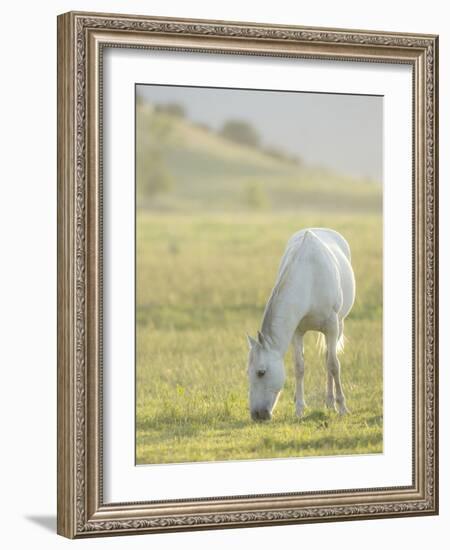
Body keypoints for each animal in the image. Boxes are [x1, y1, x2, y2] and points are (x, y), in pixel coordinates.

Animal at [246, 229, 356, 422]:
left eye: (261, 372)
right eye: (248, 373)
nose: (257, 415)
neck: (309, 278)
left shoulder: (332, 326)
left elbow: (334, 365)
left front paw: (342, 407)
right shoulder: (297, 332)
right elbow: (299, 367)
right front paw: (299, 409)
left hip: (339, 325)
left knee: (329, 358)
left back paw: (331, 403)